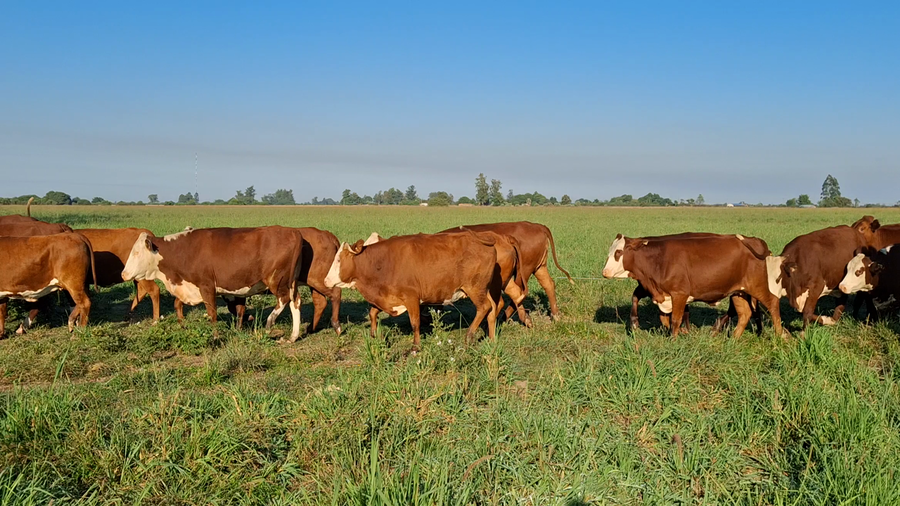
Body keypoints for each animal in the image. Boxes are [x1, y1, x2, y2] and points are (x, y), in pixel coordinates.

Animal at [121, 226, 305, 341]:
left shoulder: (206, 286)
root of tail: (293, 232)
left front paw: (215, 337)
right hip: (290, 283)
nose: (123, 274)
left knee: (283, 299)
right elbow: (177, 304)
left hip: (277, 281)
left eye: (136, 253)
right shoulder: (189, 286)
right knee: (295, 301)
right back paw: (293, 336)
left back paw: (269, 323)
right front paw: (183, 326)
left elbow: (212, 313)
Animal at [324, 230, 503, 351]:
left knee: (484, 307)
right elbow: (372, 313)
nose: (326, 281)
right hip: (484, 289)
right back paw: (492, 339)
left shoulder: (411, 298)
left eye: (338, 259)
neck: (383, 263)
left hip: (475, 288)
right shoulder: (386, 297)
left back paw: (469, 336)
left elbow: (415, 323)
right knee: (493, 308)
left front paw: (415, 347)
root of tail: (480, 239)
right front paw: (374, 335)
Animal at [438, 221, 573, 324]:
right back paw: (555, 316)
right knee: (548, 284)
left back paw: (504, 318)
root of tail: (537, 226)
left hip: (523, 271)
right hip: (539, 267)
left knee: (519, 292)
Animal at [602, 233, 783, 338]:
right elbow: (662, 316)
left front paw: (674, 338)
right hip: (739, 291)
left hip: (757, 286)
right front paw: (635, 324)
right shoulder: (659, 294)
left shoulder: (679, 294)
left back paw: (780, 336)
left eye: (618, 252)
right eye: (609, 251)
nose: (605, 272)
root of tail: (753, 240)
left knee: (772, 304)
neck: (659, 260)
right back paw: (733, 339)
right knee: (744, 313)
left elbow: (675, 319)